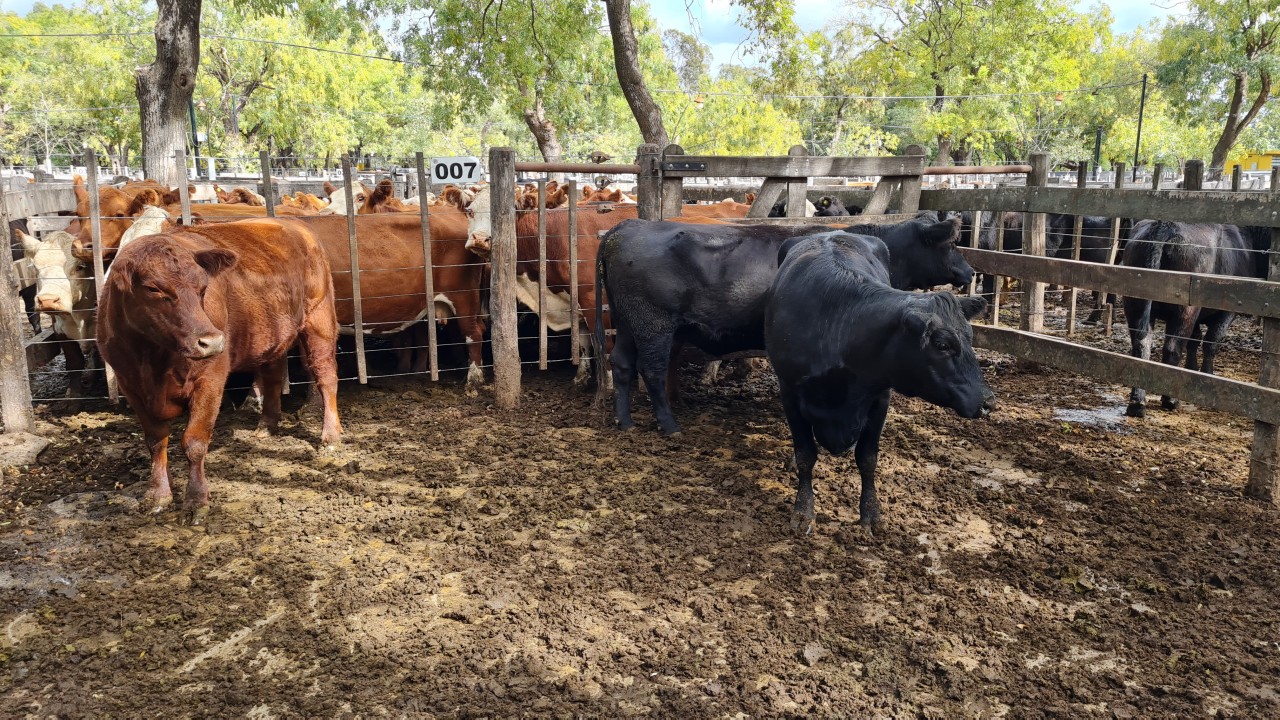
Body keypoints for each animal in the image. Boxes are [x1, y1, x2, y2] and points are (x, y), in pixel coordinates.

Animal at [97, 219, 342, 525]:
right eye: (153, 289)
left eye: (203, 288)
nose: (212, 341)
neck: (151, 358)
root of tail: (292, 223)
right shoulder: (131, 386)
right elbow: (155, 441)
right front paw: (158, 495)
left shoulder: (209, 380)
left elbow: (194, 442)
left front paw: (196, 501)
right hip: (271, 334)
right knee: (273, 374)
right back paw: (267, 425)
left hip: (319, 320)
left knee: (326, 376)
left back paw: (331, 436)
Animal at [599, 217, 974, 435]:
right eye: (951, 244)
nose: (970, 271)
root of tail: (627, 227)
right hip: (654, 326)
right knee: (652, 370)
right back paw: (668, 424)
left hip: (629, 325)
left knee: (621, 364)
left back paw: (624, 421)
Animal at [765, 231, 994, 533]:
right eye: (943, 345)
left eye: (970, 336)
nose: (988, 401)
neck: (839, 325)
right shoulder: (790, 391)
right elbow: (805, 455)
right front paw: (803, 510)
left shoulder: (880, 398)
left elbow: (867, 459)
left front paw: (871, 513)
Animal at [1122, 220, 1263, 417]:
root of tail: (1164, 226)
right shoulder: (1227, 311)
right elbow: (1211, 342)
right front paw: (1207, 374)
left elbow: (1194, 340)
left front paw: (1192, 371)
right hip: (1185, 309)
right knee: (1172, 349)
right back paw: (1171, 400)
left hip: (1135, 303)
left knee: (1141, 346)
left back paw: (1137, 403)